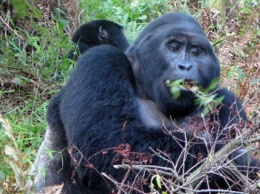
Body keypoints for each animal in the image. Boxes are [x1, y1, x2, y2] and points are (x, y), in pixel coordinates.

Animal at [33, 12, 258, 193]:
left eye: (196, 52)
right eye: (174, 47)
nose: (185, 66)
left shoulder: (226, 99)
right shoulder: (99, 60)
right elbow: (108, 145)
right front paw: (236, 164)